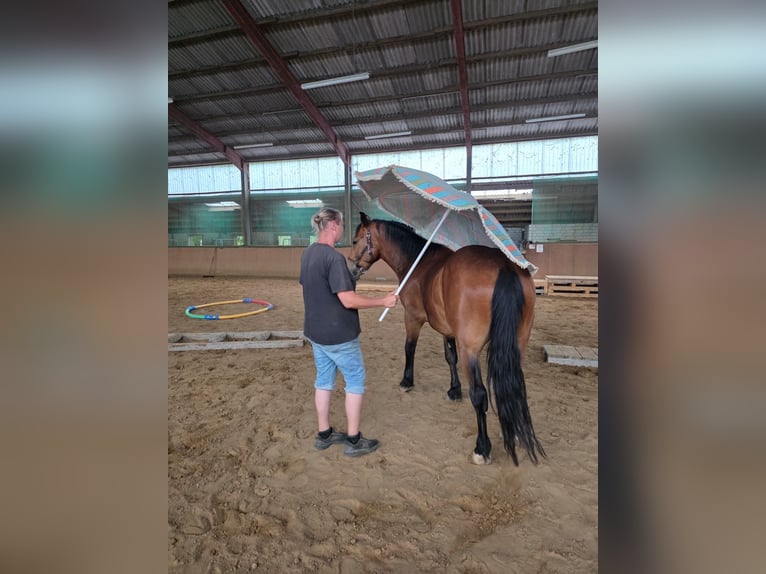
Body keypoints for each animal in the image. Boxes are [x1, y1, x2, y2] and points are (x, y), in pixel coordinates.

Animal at [348, 212, 545, 466]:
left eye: (355, 240)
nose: (351, 268)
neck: (419, 263)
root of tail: (503, 267)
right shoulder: (448, 330)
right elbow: (450, 357)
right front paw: (454, 390)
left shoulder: (412, 318)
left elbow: (409, 348)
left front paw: (407, 381)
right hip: (516, 346)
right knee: (512, 388)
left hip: (470, 349)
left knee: (479, 395)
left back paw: (482, 448)